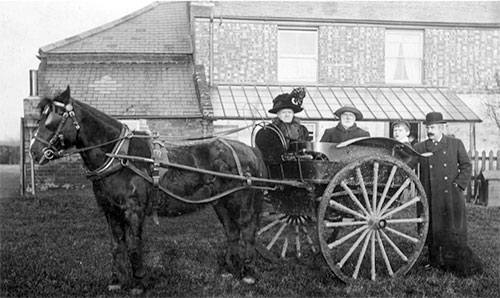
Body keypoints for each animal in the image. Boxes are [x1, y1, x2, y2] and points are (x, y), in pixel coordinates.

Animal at [29, 86, 268, 296]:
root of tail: (248, 150)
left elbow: (134, 246)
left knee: (247, 231)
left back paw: (248, 273)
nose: (33, 151)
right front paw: (116, 281)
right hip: (221, 203)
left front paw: (138, 283)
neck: (121, 157)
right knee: (232, 232)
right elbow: (117, 245)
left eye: (53, 119)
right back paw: (228, 270)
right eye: (40, 119)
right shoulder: (110, 211)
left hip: (240, 202)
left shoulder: (133, 210)